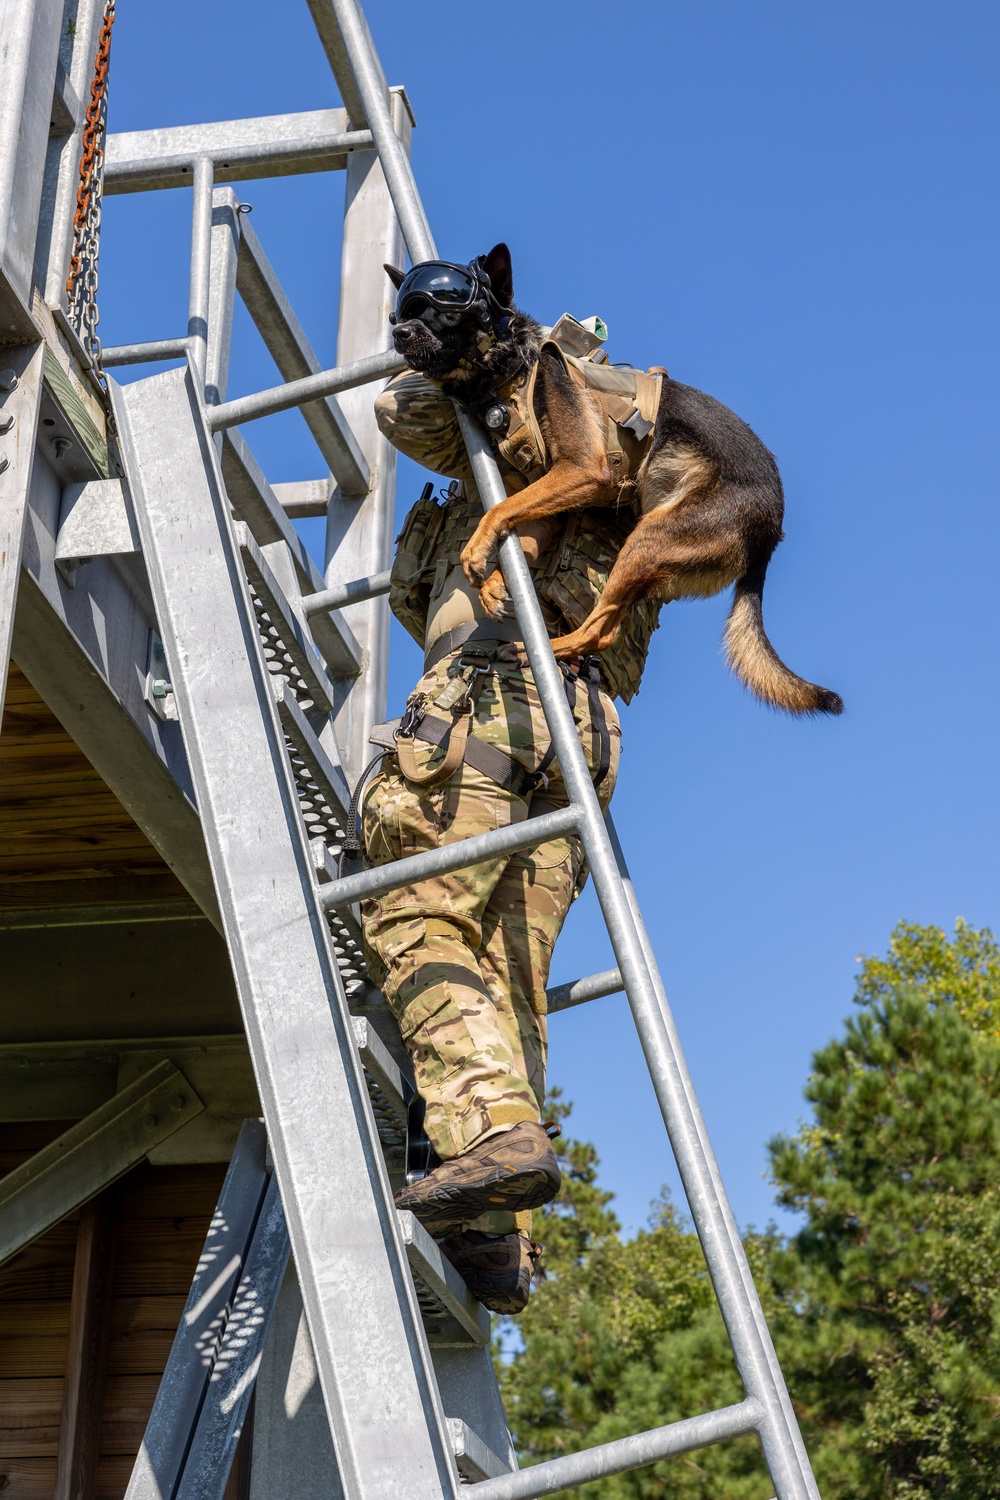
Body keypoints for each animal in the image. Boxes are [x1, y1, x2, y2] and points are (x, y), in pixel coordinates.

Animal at [386, 243, 839, 717]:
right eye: (405, 310)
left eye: (443, 308)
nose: (398, 332)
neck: (516, 365)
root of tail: (770, 533)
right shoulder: (548, 496)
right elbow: (520, 528)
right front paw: (495, 583)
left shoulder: (584, 470)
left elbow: (498, 509)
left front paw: (475, 552)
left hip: (649, 539)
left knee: (600, 632)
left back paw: (542, 650)